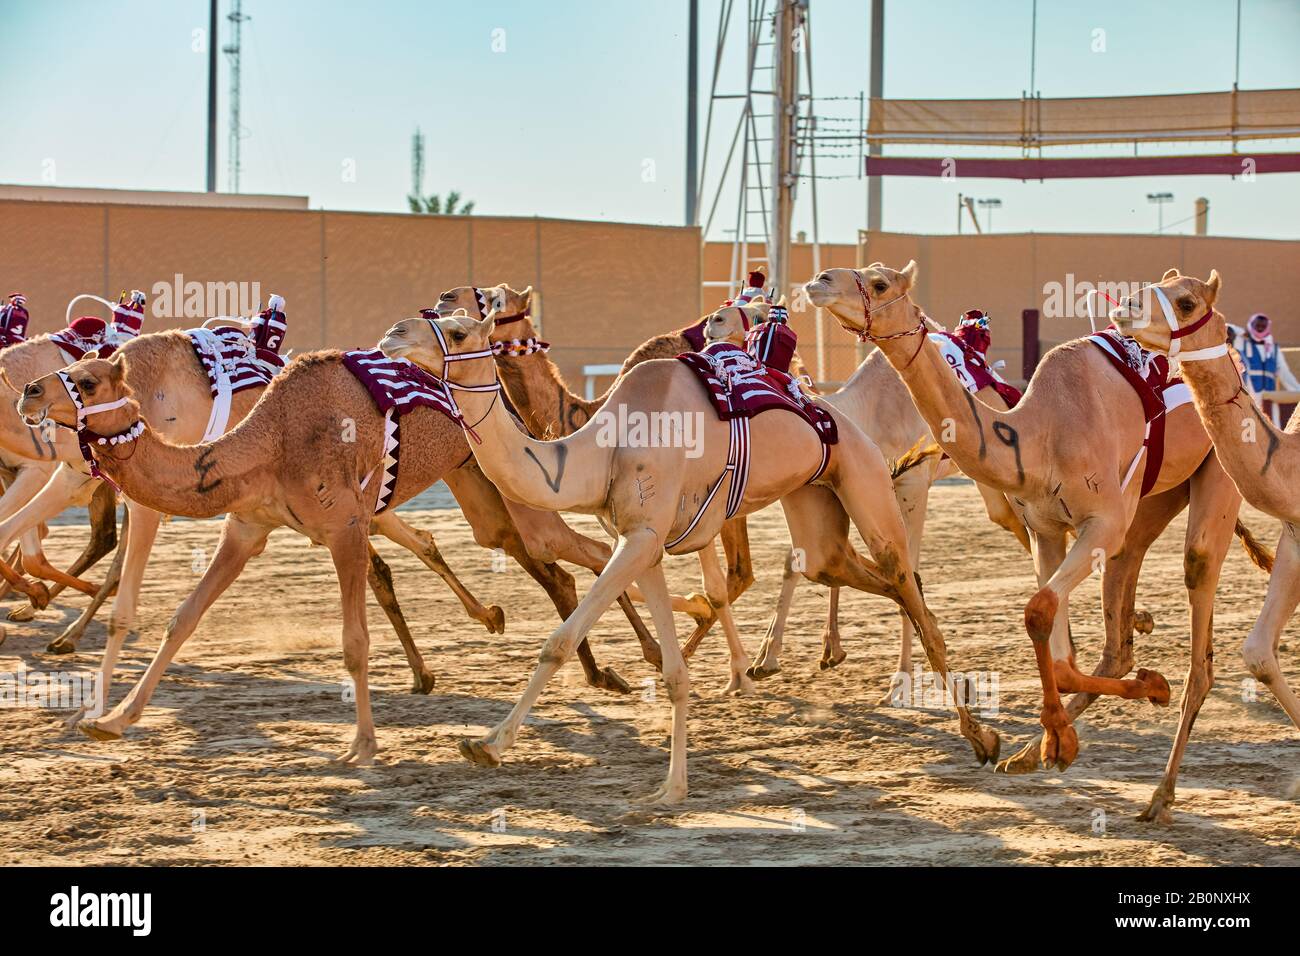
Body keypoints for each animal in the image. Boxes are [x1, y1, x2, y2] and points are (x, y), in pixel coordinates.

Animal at [379, 310, 998, 806]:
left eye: (460, 328)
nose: (392, 334)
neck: (602, 447)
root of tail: (840, 415)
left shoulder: (641, 539)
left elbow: (559, 641)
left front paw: (488, 745)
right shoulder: (644, 544)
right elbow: (675, 672)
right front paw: (672, 788)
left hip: (865, 477)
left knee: (903, 576)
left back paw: (980, 736)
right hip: (816, 505)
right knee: (857, 573)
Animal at [806, 261, 1274, 822]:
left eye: (879, 284)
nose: (820, 280)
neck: (1037, 433)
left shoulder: (1100, 520)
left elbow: (1038, 611)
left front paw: (1076, 731)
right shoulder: (1047, 529)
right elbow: (1057, 647)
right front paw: (1055, 742)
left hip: (1221, 467)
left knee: (1198, 603)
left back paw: (1161, 792)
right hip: (1152, 500)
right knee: (1118, 631)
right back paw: (1057, 735)